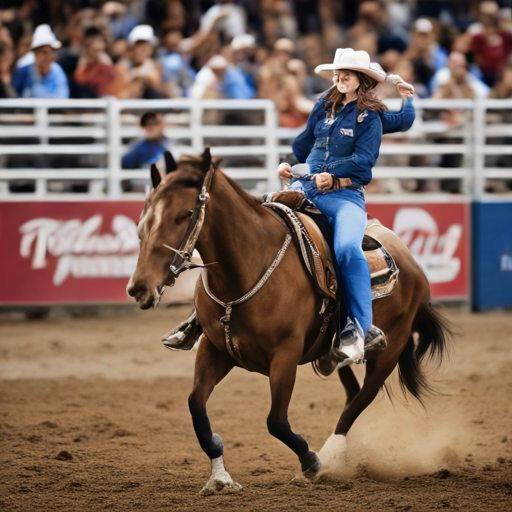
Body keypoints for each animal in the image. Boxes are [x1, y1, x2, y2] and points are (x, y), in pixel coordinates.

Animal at [128, 149, 452, 496]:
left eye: (185, 213)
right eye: (145, 215)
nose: (139, 287)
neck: (245, 269)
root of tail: (411, 264)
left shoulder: (285, 354)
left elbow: (276, 421)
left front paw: (311, 462)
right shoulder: (214, 349)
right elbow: (196, 408)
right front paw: (220, 478)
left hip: (389, 351)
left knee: (363, 397)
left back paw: (331, 454)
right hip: (335, 353)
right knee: (352, 393)